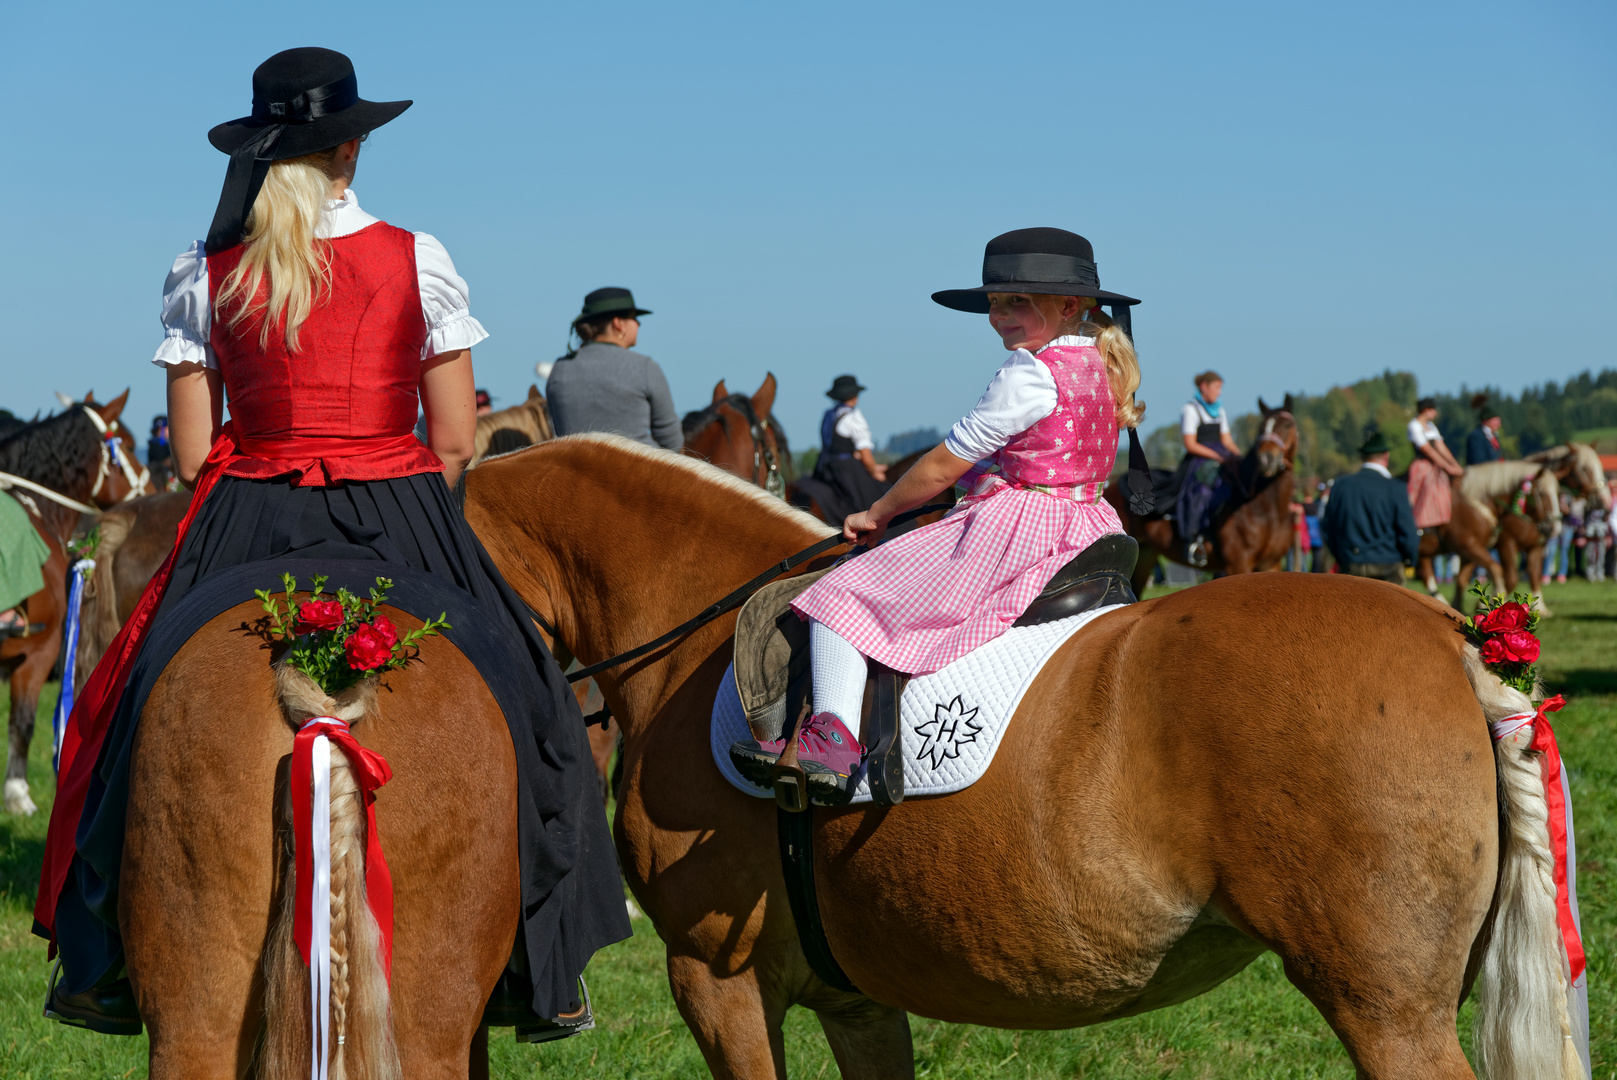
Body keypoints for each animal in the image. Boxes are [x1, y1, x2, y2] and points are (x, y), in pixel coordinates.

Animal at [1099, 400, 1300, 594]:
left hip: (1145, 555)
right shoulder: (1238, 563)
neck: (1264, 508)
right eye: (1262, 427)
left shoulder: (1271, 564)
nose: (1267, 459)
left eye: (1288, 424)